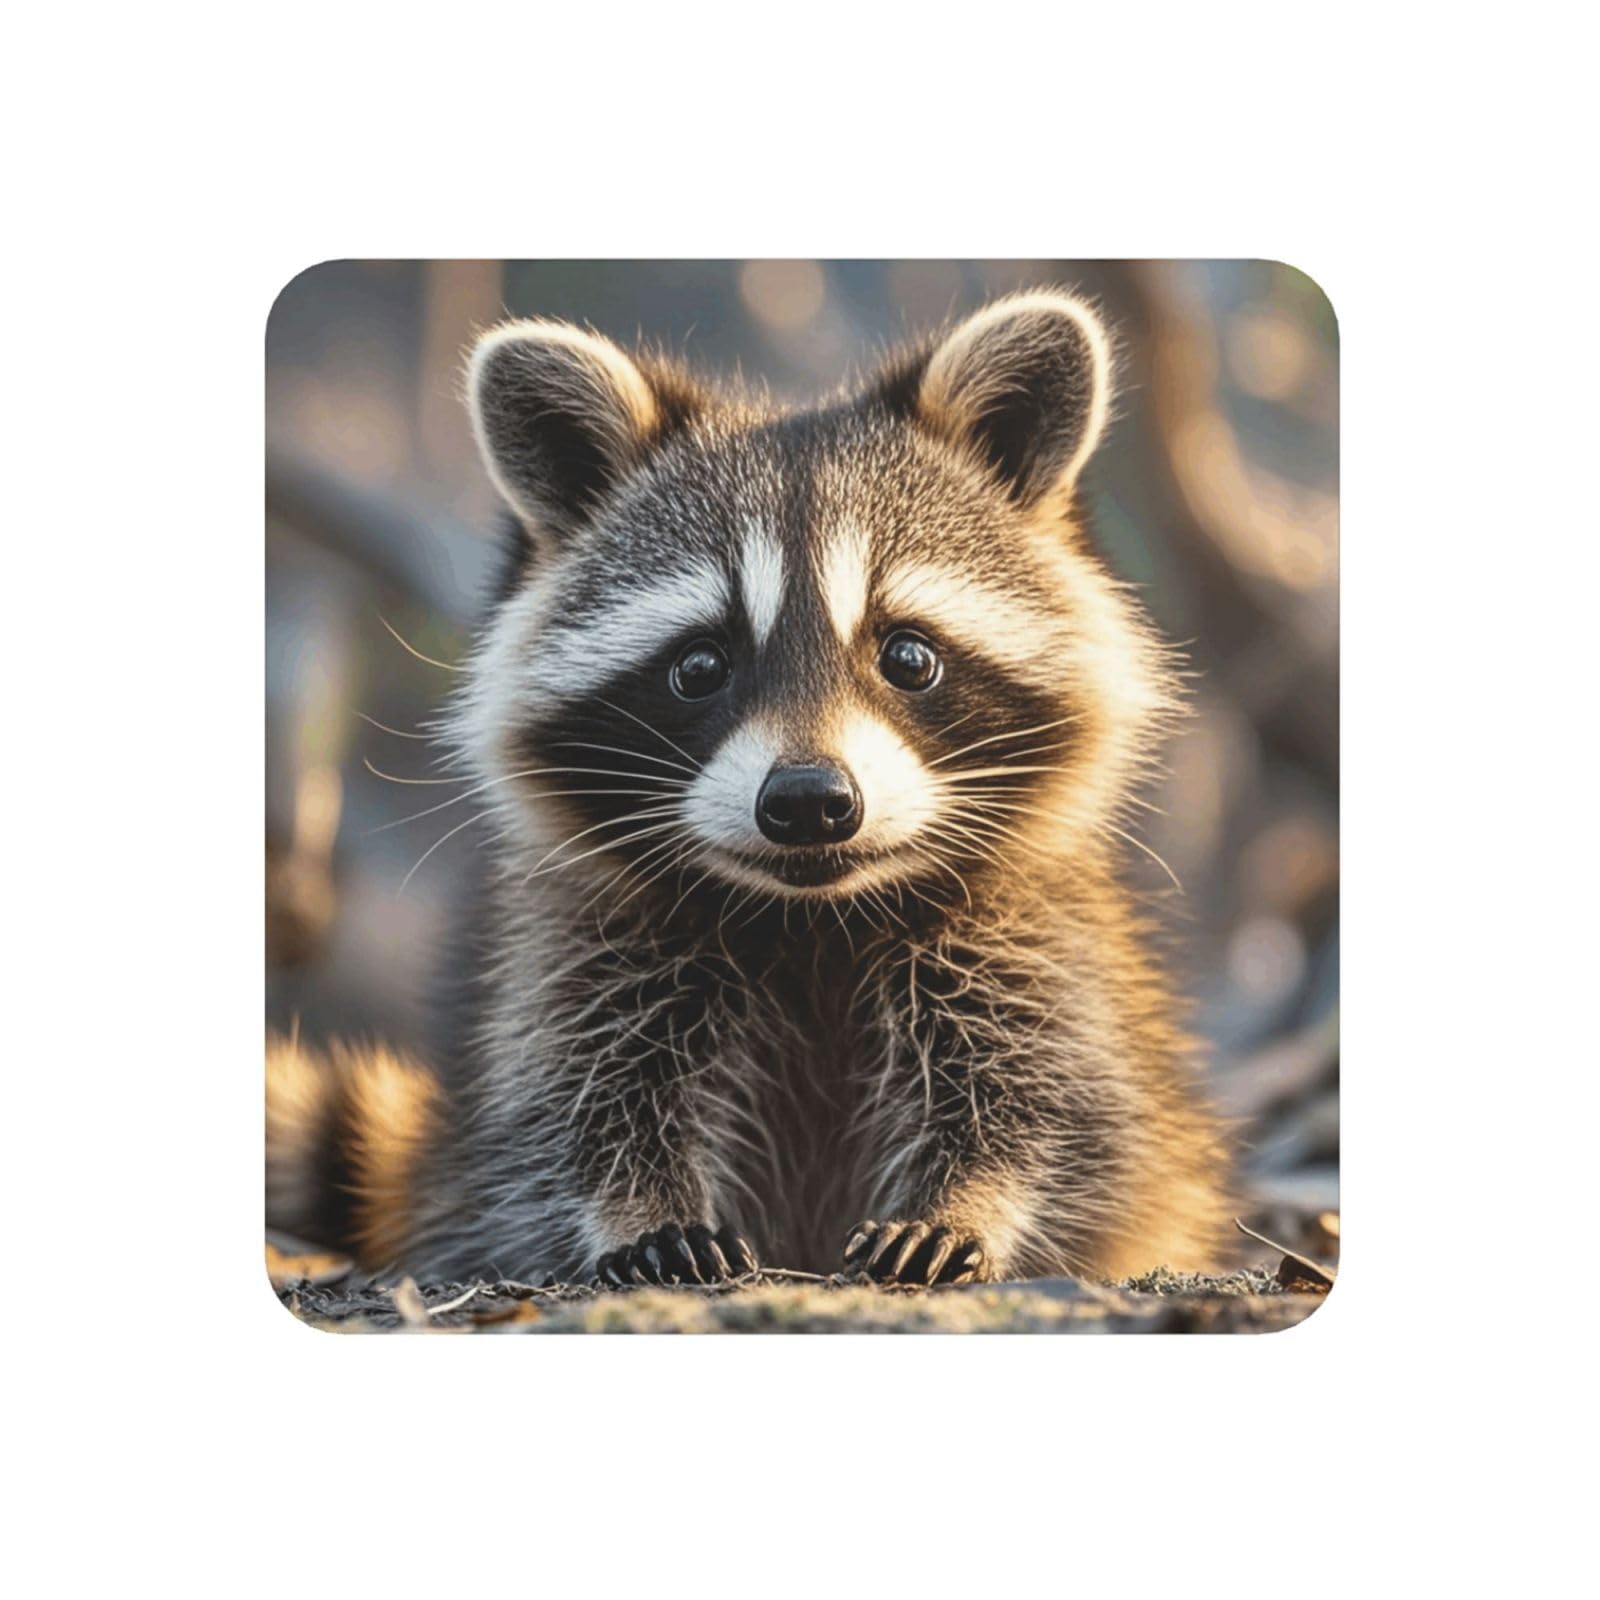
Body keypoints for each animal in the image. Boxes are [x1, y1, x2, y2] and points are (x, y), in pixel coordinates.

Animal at [268, 289, 1233, 1287]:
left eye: (908, 656)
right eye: (701, 665)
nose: (809, 800)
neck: (813, 916)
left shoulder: (1028, 932)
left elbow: (1047, 1101)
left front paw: (965, 1201)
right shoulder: (584, 943)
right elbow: (579, 1100)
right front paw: (639, 1208)